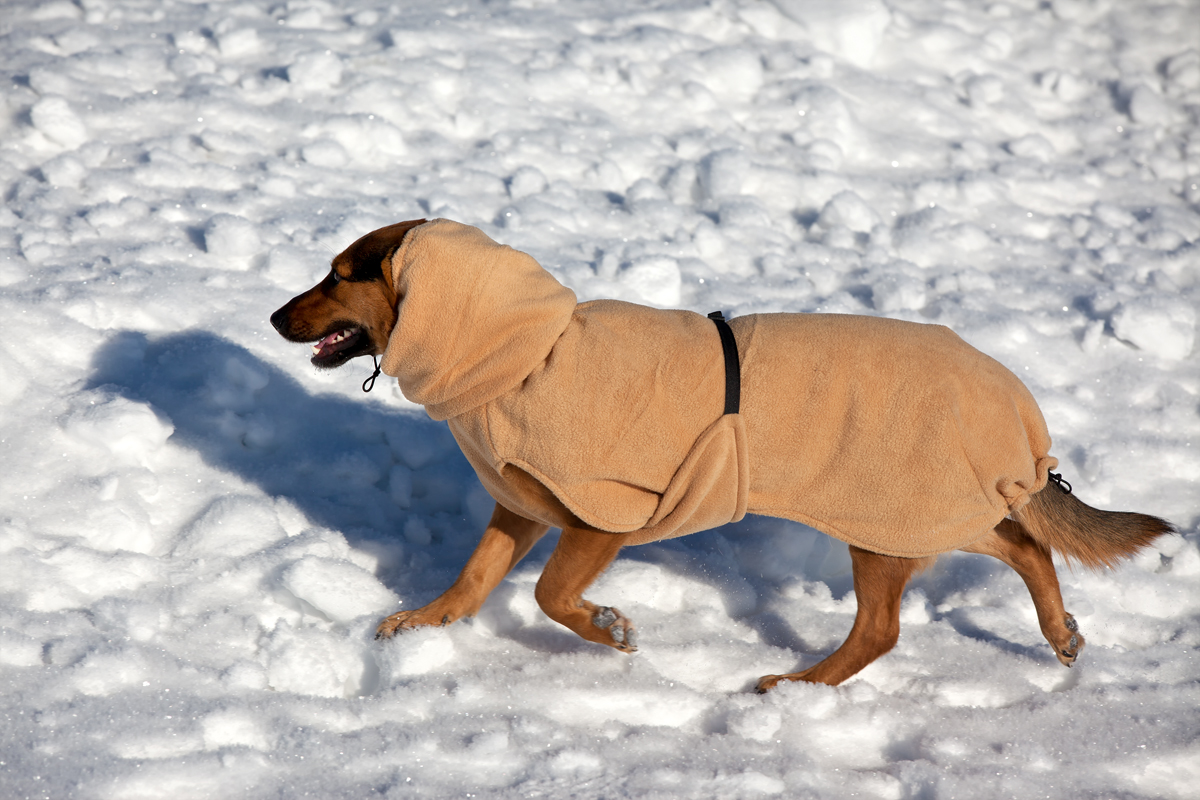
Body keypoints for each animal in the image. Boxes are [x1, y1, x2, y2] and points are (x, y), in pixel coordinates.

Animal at [270, 217, 1171, 690]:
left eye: (339, 275)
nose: (275, 316)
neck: (527, 351)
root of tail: (1016, 403)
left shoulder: (602, 516)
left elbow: (553, 597)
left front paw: (608, 629)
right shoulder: (521, 506)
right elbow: (472, 581)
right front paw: (421, 624)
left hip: (883, 516)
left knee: (883, 629)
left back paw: (798, 687)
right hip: (923, 509)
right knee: (1025, 544)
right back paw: (1059, 634)